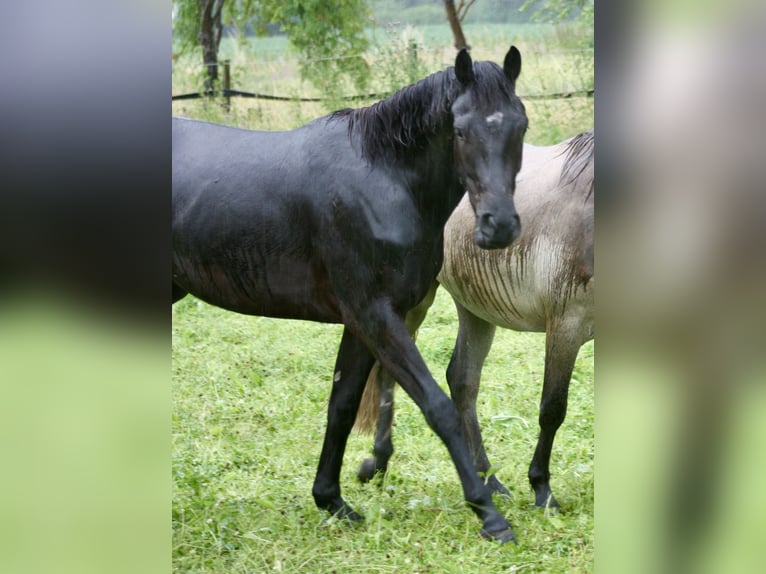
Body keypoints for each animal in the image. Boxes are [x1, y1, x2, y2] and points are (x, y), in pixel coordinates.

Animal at [172, 46, 528, 544]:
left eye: (521, 126)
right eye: (460, 130)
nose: (500, 227)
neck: (382, 178)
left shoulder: (363, 322)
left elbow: (341, 405)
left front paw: (331, 499)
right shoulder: (375, 315)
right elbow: (438, 406)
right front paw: (489, 514)